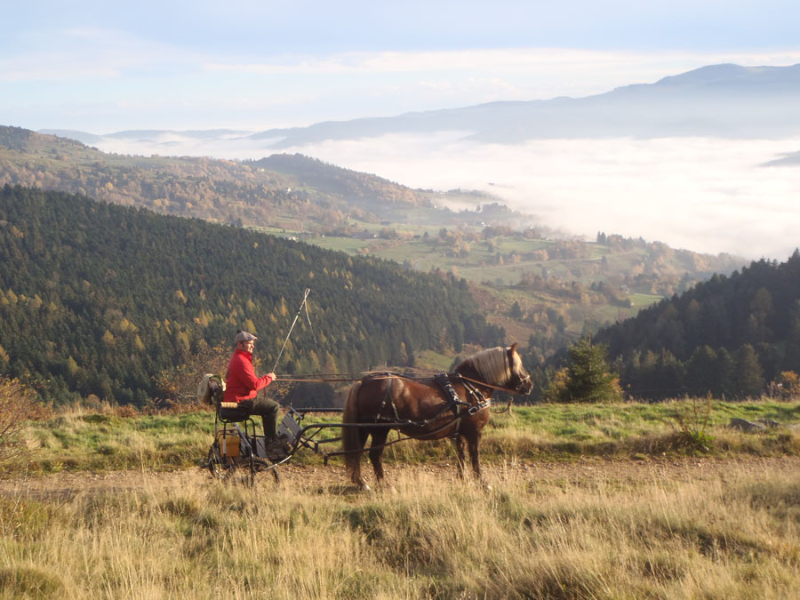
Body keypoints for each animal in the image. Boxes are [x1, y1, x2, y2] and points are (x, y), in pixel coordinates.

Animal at [340, 344, 532, 490]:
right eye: (518, 364)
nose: (529, 385)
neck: (471, 387)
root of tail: (364, 382)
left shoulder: (458, 433)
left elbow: (461, 455)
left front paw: (462, 479)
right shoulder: (474, 432)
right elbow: (475, 456)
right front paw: (482, 482)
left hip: (363, 428)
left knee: (357, 453)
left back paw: (360, 482)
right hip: (380, 430)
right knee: (374, 455)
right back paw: (383, 484)